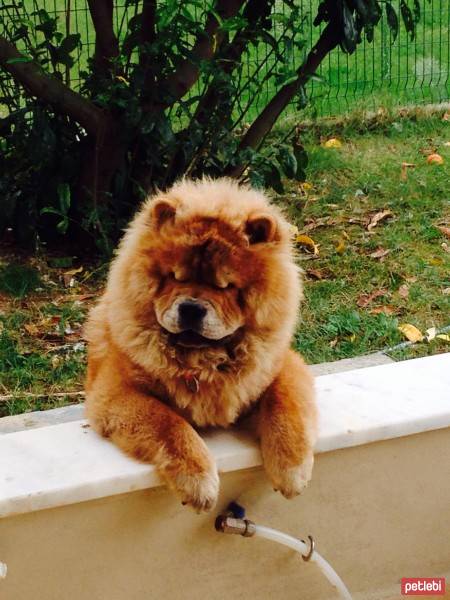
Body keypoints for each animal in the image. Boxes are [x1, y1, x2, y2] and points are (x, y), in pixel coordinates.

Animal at [84, 178, 316, 510]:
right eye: (174, 277)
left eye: (226, 287)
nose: (192, 308)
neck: (201, 362)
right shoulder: (115, 392)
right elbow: (169, 423)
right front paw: (199, 481)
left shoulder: (282, 365)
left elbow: (285, 405)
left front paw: (292, 472)